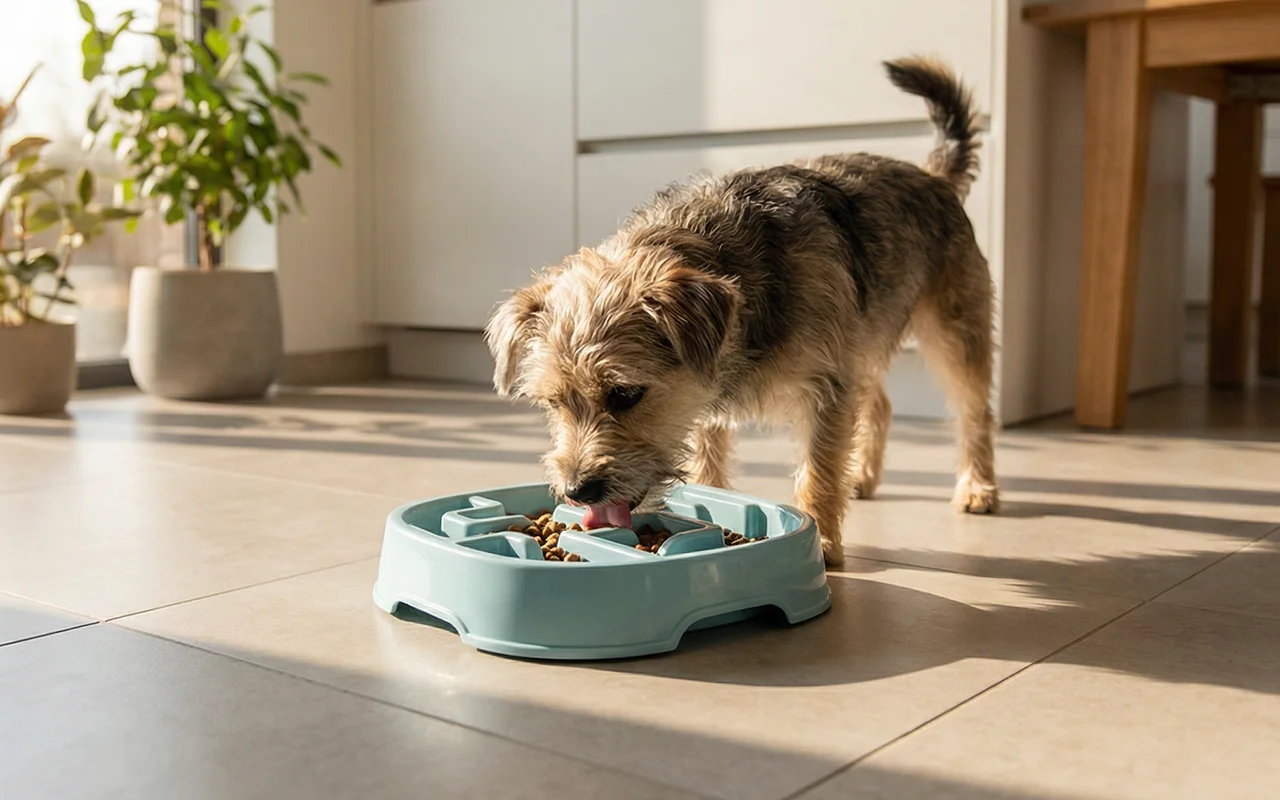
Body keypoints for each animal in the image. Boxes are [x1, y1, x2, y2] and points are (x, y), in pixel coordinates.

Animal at [485, 56, 998, 567]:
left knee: (974, 408)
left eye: (625, 394)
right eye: (553, 403)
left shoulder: (827, 385)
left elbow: (819, 467)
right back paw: (864, 476)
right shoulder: (715, 398)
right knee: (881, 403)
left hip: (953, 329)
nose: (576, 490)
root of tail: (934, 176)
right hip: (866, 334)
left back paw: (977, 488)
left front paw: (823, 545)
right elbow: (710, 463)